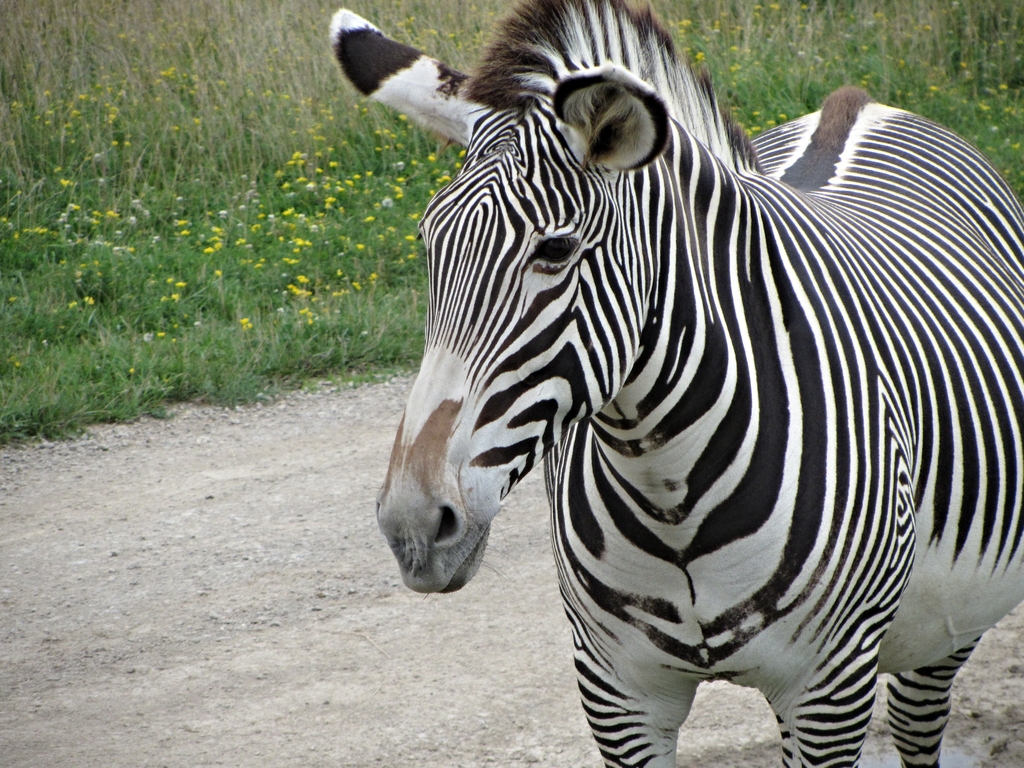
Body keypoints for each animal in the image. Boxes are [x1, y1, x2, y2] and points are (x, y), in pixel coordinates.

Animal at [330, 0, 1024, 765]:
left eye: (555, 250)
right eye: (430, 245)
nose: (414, 527)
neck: (668, 491)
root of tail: (861, 104)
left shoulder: (828, 693)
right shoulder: (618, 692)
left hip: (947, 624)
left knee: (916, 720)